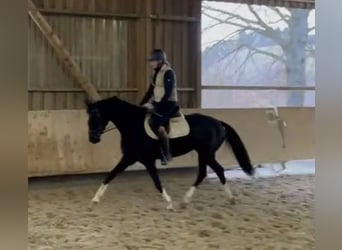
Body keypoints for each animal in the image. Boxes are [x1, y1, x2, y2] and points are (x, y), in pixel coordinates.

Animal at [85, 96, 256, 210]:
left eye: (96, 117)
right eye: (88, 119)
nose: (93, 139)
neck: (133, 124)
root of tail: (219, 123)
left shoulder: (135, 158)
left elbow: (152, 181)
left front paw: (169, 203)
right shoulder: (139, 159)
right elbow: (115, 175)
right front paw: (95, 198)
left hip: (205, 153)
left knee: (214, 171)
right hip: (204, 154)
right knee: (208, 172)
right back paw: (194, 200)